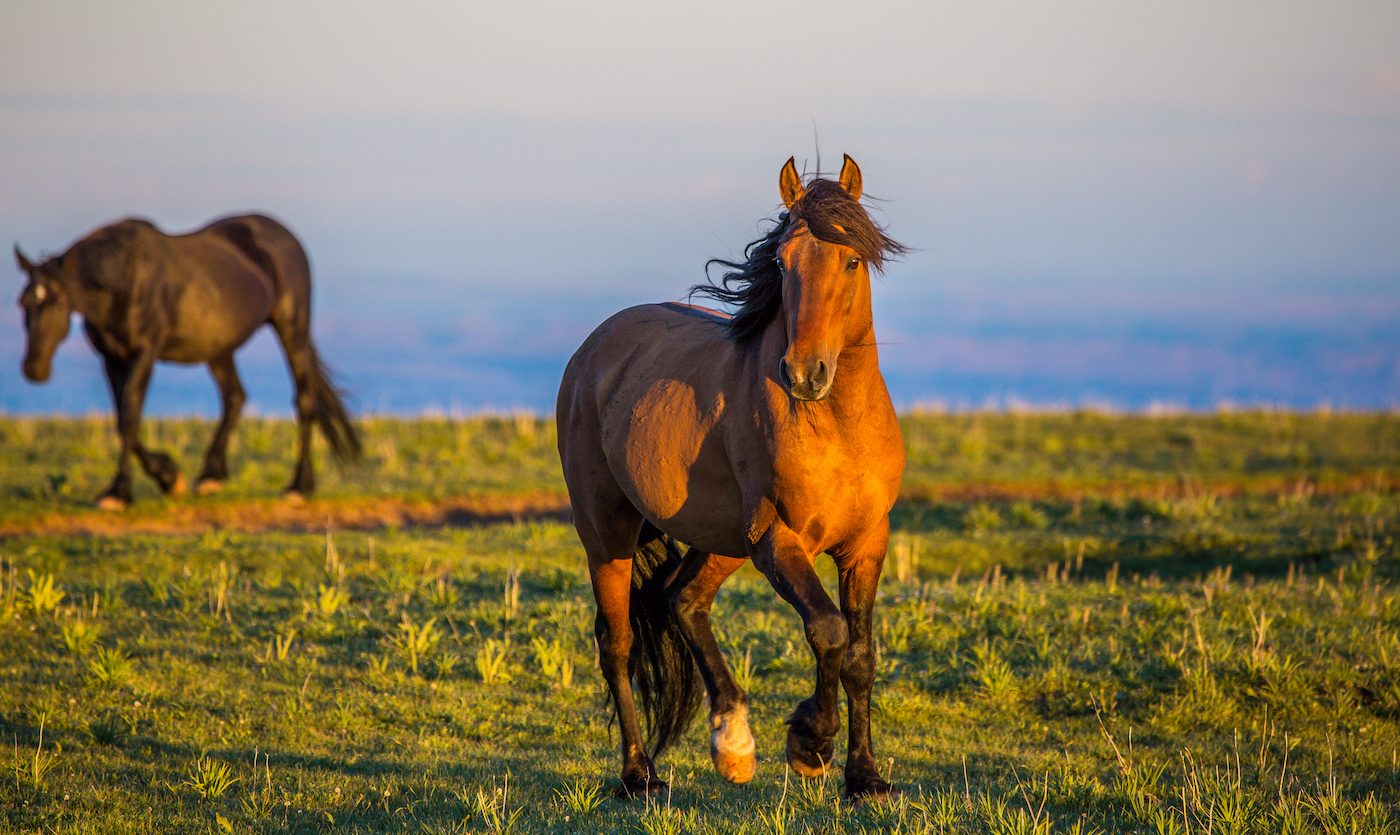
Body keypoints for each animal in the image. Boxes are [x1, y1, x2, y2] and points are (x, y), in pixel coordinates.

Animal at [14, 214, 361, 509]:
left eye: (60, 304)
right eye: (23, 304)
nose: (34, 368)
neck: (125, 280)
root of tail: (283, 233)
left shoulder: (144, 353)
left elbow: (130, 417)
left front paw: (121, 492)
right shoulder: (111, 358)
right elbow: (122, 419)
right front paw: (168, 477)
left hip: (292, 329)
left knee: (304, 399)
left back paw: (299, 487)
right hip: (218, 347)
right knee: (235, 396)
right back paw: (211, 476)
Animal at [556, 155, 907, 801]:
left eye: (850, 260)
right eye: (783, 261)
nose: (804, 373)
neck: (837, 426)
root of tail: (593, 350)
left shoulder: (867, 544)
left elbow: (860, 655)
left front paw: (865, 776)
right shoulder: (778, 540)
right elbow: (829, 629)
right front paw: (810, 744)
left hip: (721, 540)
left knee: (683, 599)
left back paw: (732, 744)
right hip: (608, 534)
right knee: (617, 646)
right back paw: (639, 776)